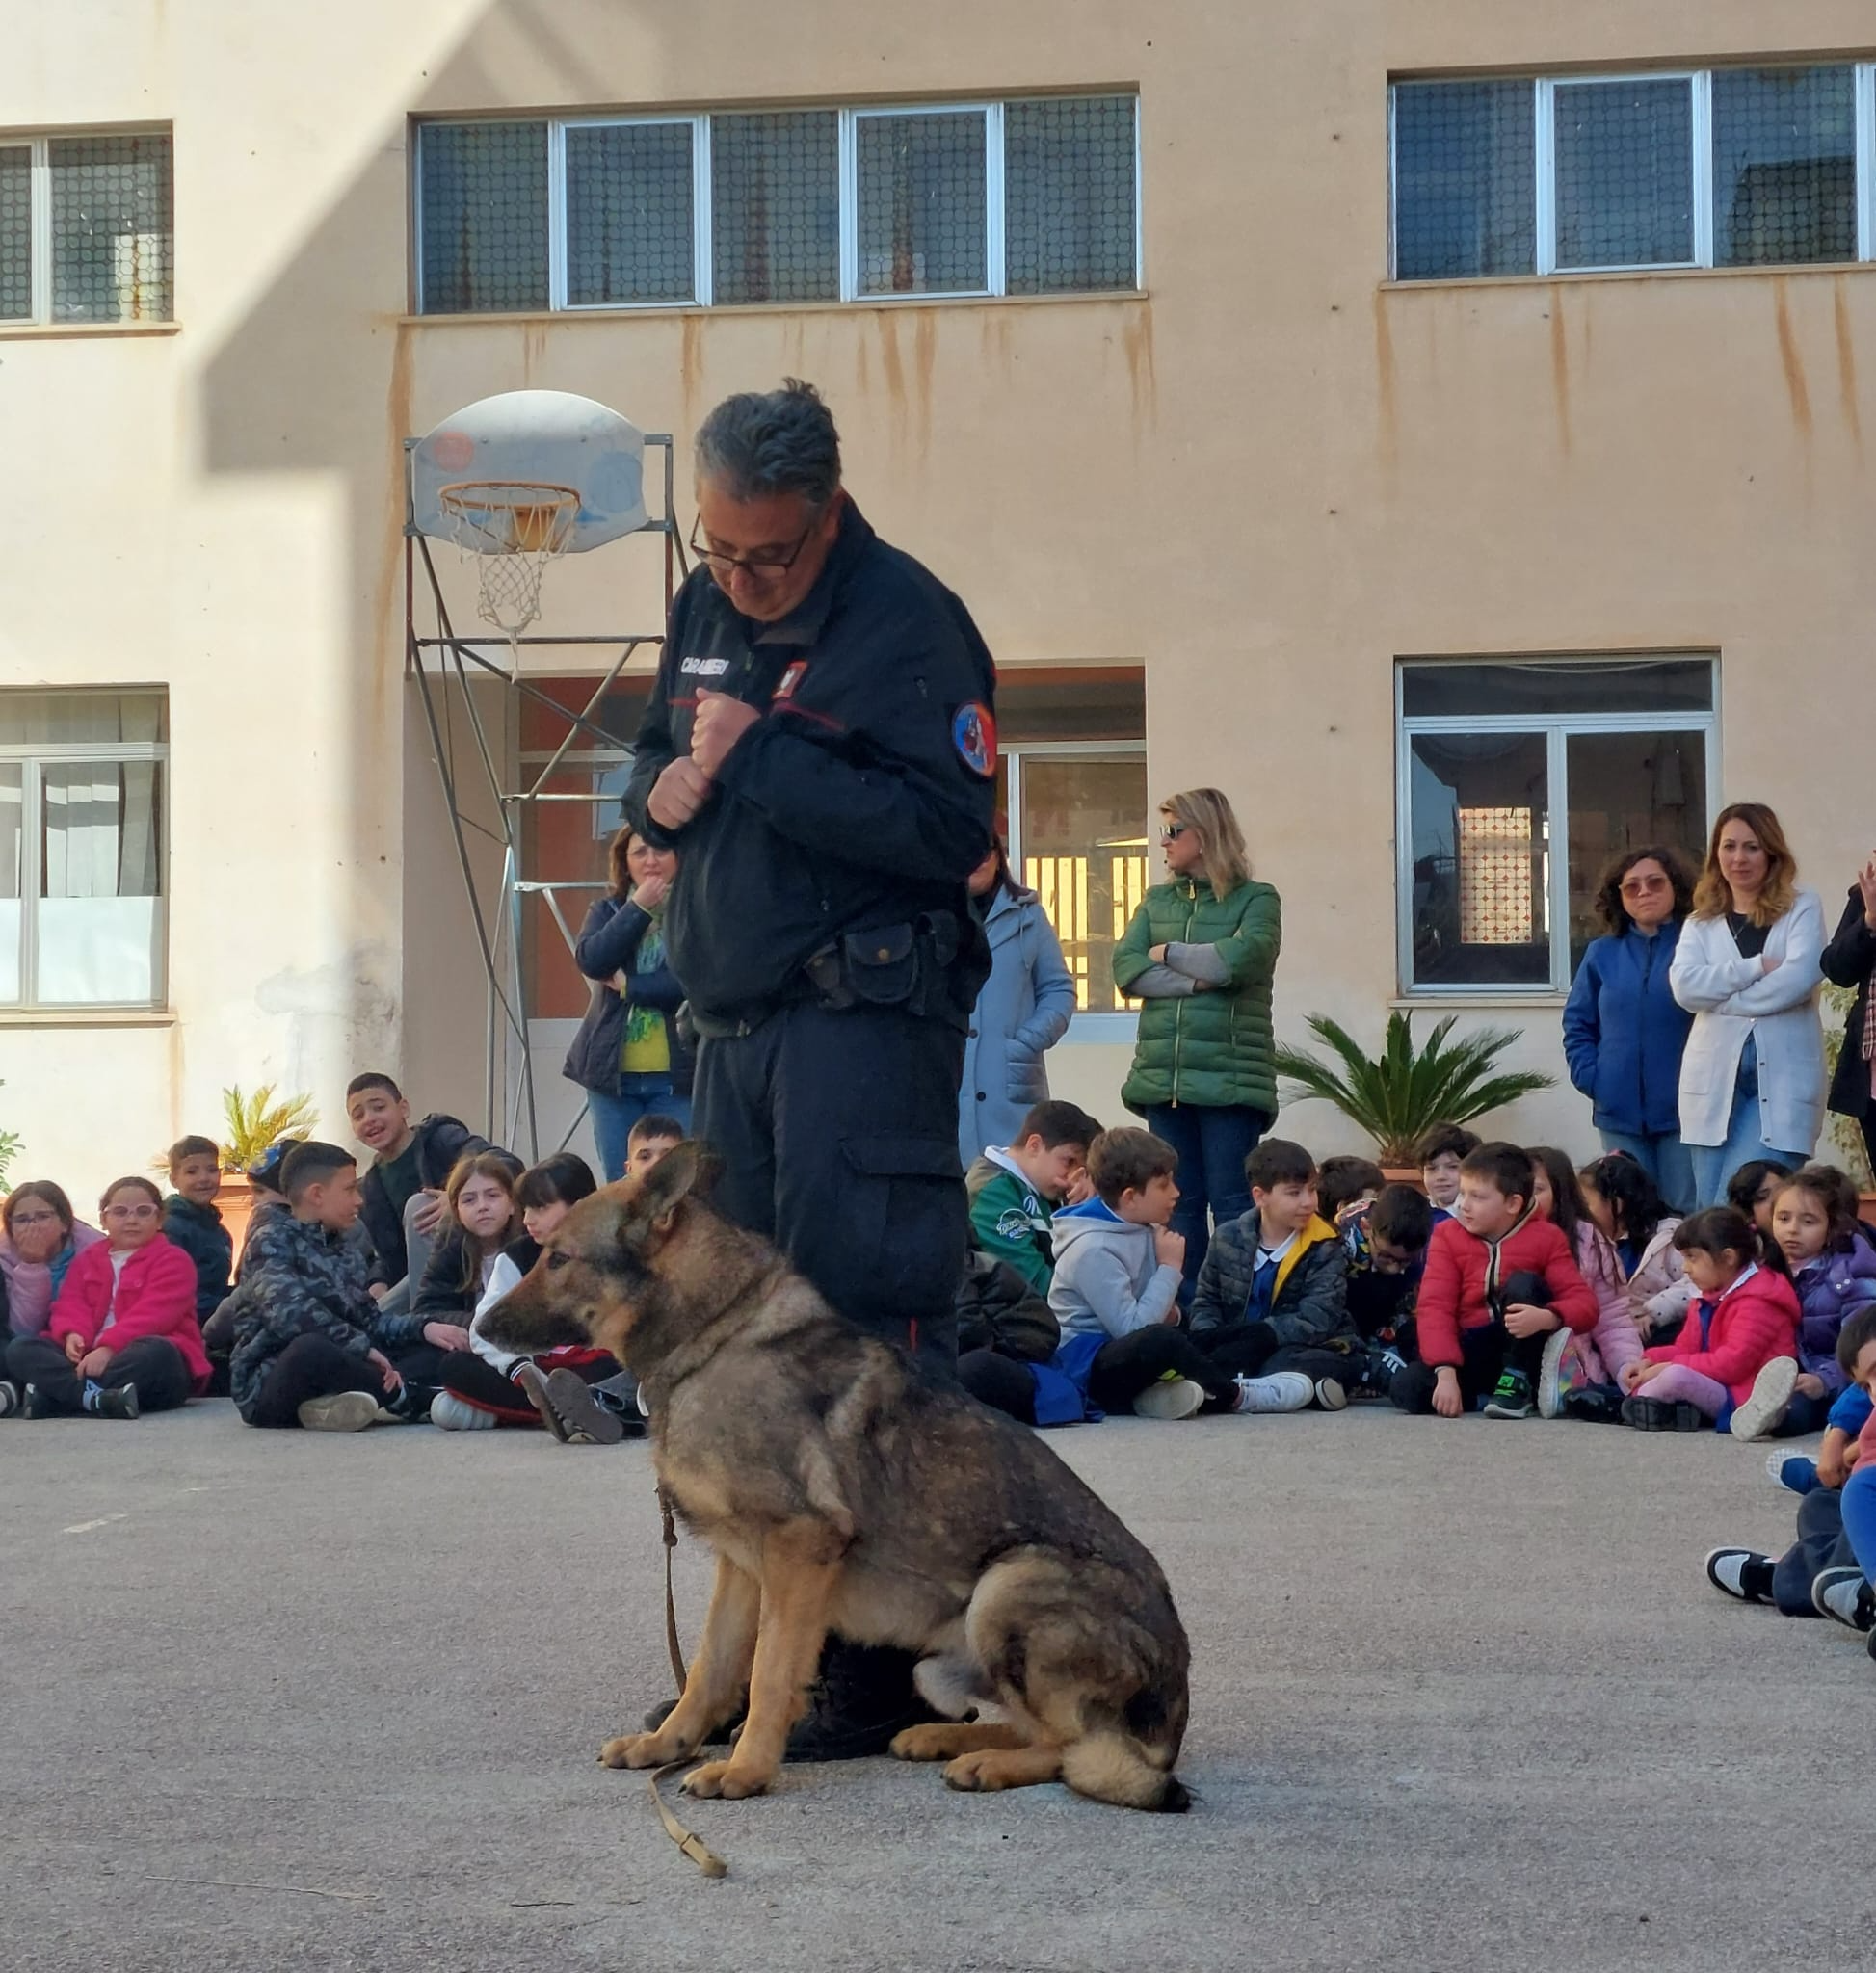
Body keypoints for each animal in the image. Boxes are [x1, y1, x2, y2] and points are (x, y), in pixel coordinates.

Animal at [480, 1142, 1191, 1812]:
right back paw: (940, 1737)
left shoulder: (798, 1551)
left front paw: (744, 1770)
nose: (481, 1325)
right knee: (1037, 1730)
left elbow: (769, 1673)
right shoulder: (742, 1567)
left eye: (557, 1258)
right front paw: (669, 1744)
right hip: (939, 1664)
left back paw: (985, 1763)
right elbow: (710, 1668)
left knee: (1073, 1749)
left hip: (1009, 1583)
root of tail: (1173, 1723)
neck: (716, 1334)